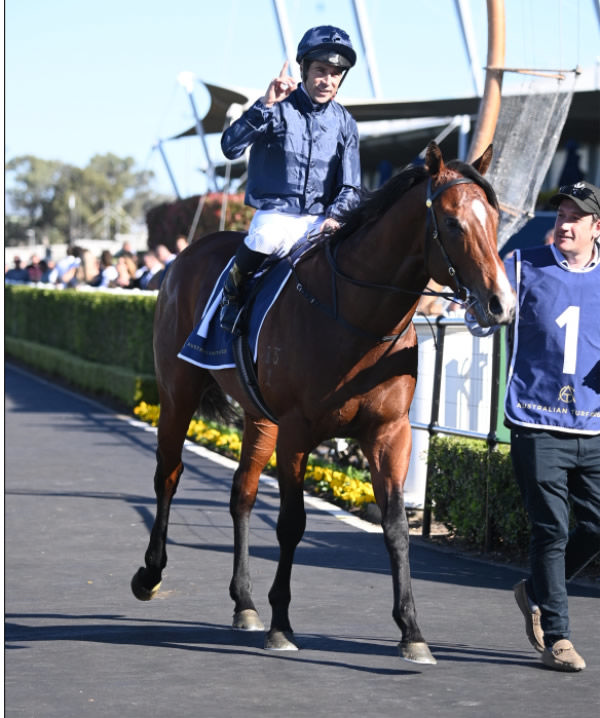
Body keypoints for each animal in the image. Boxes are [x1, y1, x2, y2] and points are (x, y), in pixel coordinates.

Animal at [131, 143, 516, 668]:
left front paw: (412, 631)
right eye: (454, 223)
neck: (355, 319)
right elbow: (292, 523)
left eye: (494, 219)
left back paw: (244, 602)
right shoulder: (297, 432)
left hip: (259, 419)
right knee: (168, 475)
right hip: (178, 392)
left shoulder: (389, 432)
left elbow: (396, 527)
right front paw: (282, 623)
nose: (502, 303)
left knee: (241, 493)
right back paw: (150, 575)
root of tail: (184, 257)